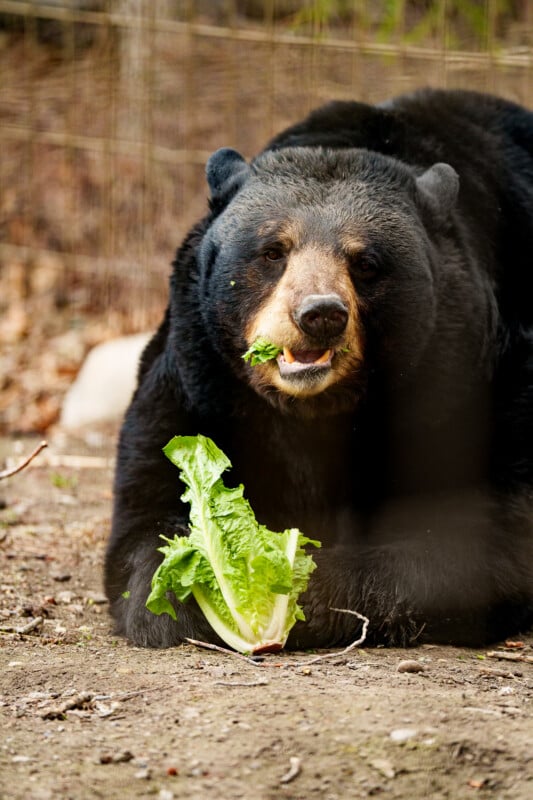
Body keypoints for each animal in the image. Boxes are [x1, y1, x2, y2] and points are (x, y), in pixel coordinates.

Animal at [105, 88, 533, 649]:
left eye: (365, 262)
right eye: (273, 250)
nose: (320, 314)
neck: (316, 411)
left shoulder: (469, 377)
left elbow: (483, 532)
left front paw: (296, 587)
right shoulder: (198, 375)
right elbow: (148, 502)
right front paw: (181, 590)